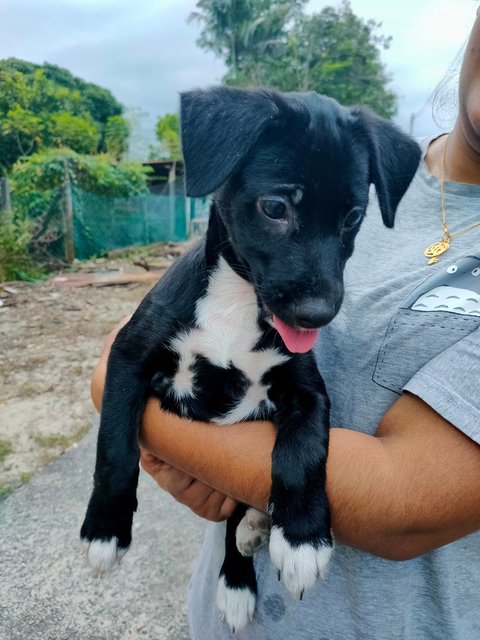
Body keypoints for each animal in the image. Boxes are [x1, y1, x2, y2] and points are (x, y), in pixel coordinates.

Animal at [81, 87, 420, 632]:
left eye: (352, 217)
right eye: (275, 207)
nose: (317, 314)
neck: (236, 302)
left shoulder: (305, 390)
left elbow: (302, 452)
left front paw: (302, 539)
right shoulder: (128, 357)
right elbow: (114, 447)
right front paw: (104, 531)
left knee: (235, 521)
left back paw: (244, 565)